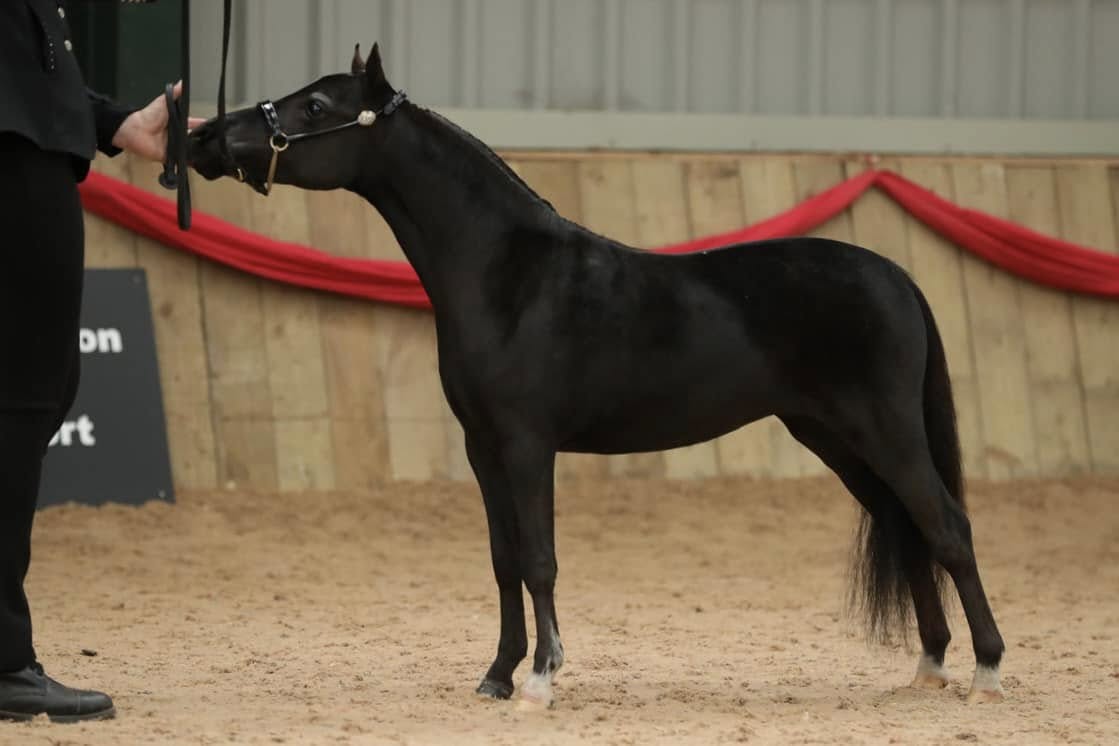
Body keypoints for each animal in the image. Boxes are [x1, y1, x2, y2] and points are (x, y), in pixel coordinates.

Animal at [188, 43, 1006, 710]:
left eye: (315, 107)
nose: (205, 137)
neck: (507, 275)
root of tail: (895, 276)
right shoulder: (483, 449)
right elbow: (503, 560)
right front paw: (497, 674)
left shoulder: (527, 445)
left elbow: (540, 559)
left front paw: (542, 679)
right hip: (835, 439)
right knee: (907, 525)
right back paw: (931, 665)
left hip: (885, 432)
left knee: (948, 526)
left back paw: (987, 671)